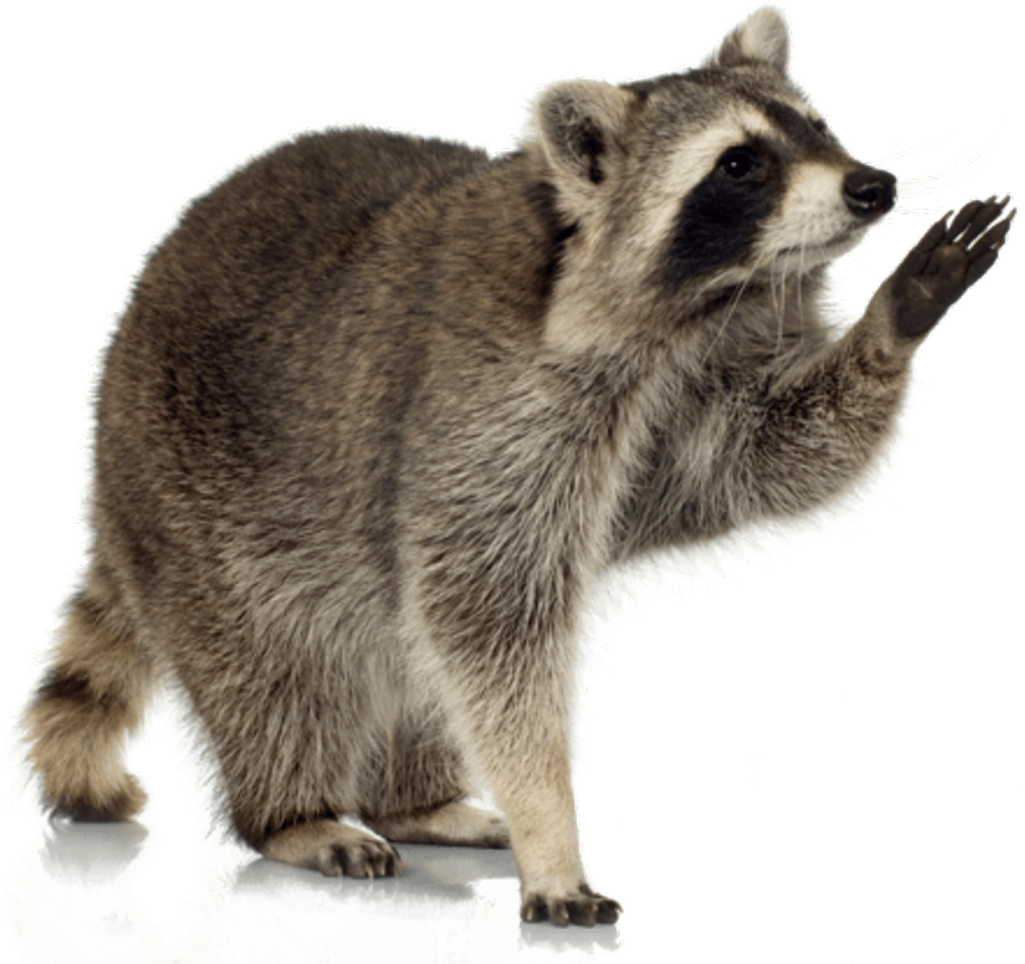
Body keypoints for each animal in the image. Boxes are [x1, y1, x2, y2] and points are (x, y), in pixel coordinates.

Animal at [21, 2, 1013, 927]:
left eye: (813, 126)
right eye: (740, 166)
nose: (872, 185)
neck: (691, 311)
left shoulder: (692, 389)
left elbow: (775, 454)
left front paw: (896, 314)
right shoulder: (482, 402)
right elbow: (491, 620)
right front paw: (551, 832)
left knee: (403, 654)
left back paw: (412, 800)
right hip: (196, 506)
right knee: (276, 668)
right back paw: (294, 812)